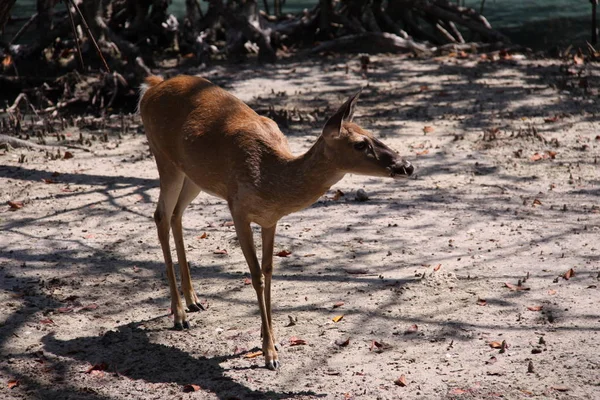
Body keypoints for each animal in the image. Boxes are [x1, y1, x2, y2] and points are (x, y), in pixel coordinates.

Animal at [139, 74, 414, 368]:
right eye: (360, 144)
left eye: (374, 134)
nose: (406, 166)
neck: (269, 178)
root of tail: (151, 87)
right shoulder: (237, 208)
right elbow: (256, 275)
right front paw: (269, 354)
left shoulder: (270, 219)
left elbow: (269, 270)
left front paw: (270, 337)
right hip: (163, 157)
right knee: (160, 215)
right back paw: (179, 315)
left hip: (193, 175)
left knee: (176, 214)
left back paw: (193, 301)